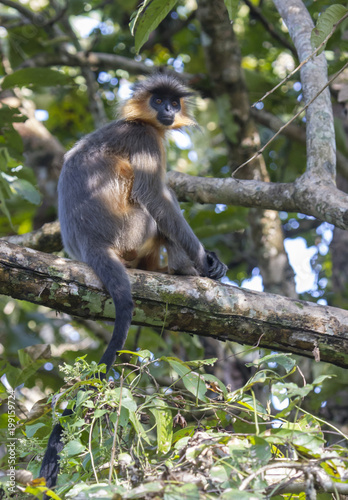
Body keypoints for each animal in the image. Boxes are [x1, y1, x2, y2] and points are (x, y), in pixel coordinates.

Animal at [39, 73, 227, 492]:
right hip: (132, 229)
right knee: (157, 207)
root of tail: (90, 244)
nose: (168, 111)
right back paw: (184, 271)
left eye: (172, 103)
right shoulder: (144, 138)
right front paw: (204, 261)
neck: (141, 120)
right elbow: (155, 195)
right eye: (158, 100)